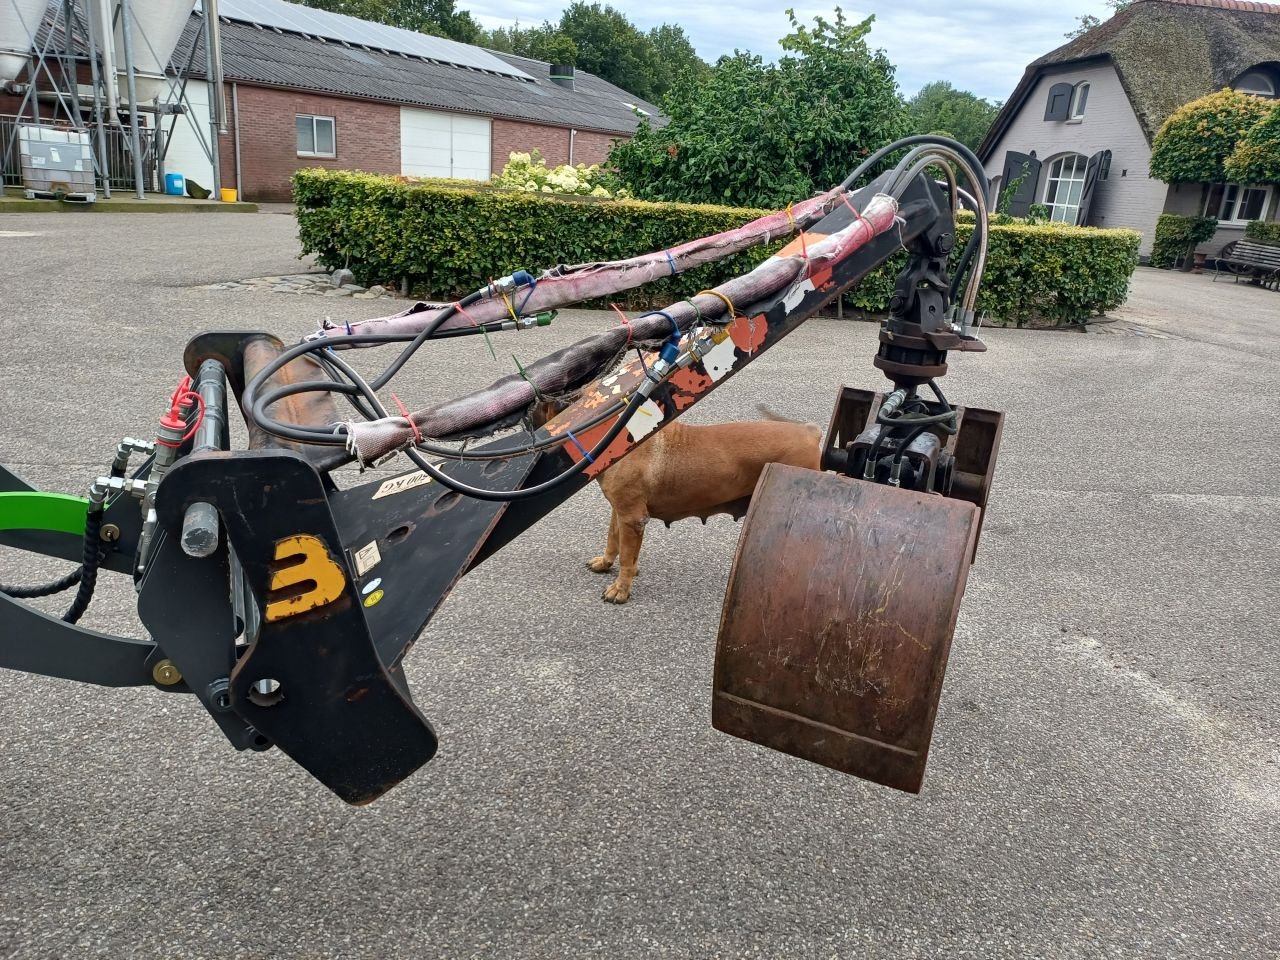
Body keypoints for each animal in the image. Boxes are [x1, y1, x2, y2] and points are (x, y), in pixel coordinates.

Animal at [583, 404, 819, 601]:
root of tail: (809, 431)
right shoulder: (621, 512)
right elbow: (613, 539)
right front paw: (606, 562)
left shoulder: (632, 517)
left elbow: (626, 557)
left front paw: (620, 589)